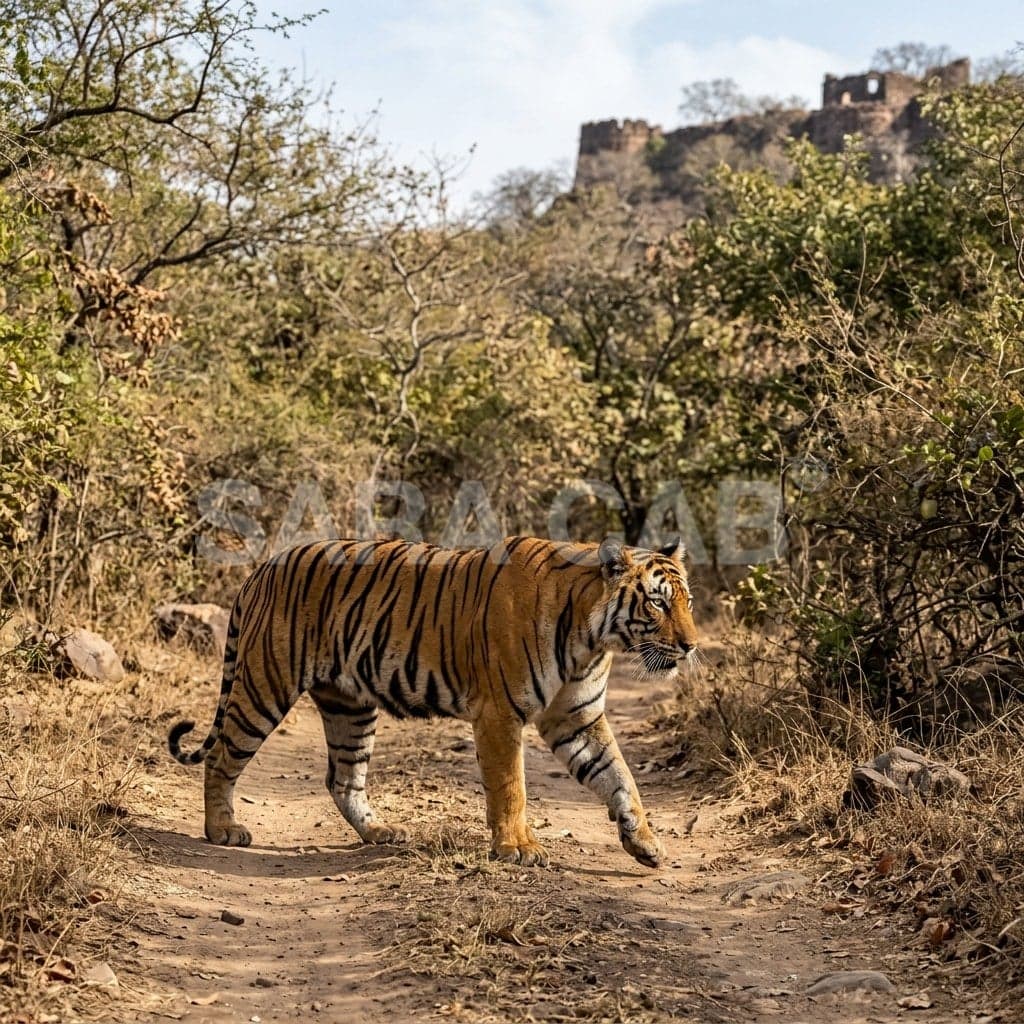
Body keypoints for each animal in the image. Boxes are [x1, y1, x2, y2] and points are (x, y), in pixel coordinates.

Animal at [168, 535, 701, 868]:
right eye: (657, 602)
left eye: (688, 602)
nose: (692, 645)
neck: (593, 638)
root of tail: (263, 567)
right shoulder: (498, 713)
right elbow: (511, 786)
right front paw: (518, 848)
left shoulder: (577, 717)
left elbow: (619, 776)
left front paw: (645, 843)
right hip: (265, 684)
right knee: (221, 756)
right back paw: (222, 830)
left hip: (349, 705)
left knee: (343, 778)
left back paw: (381, 833)